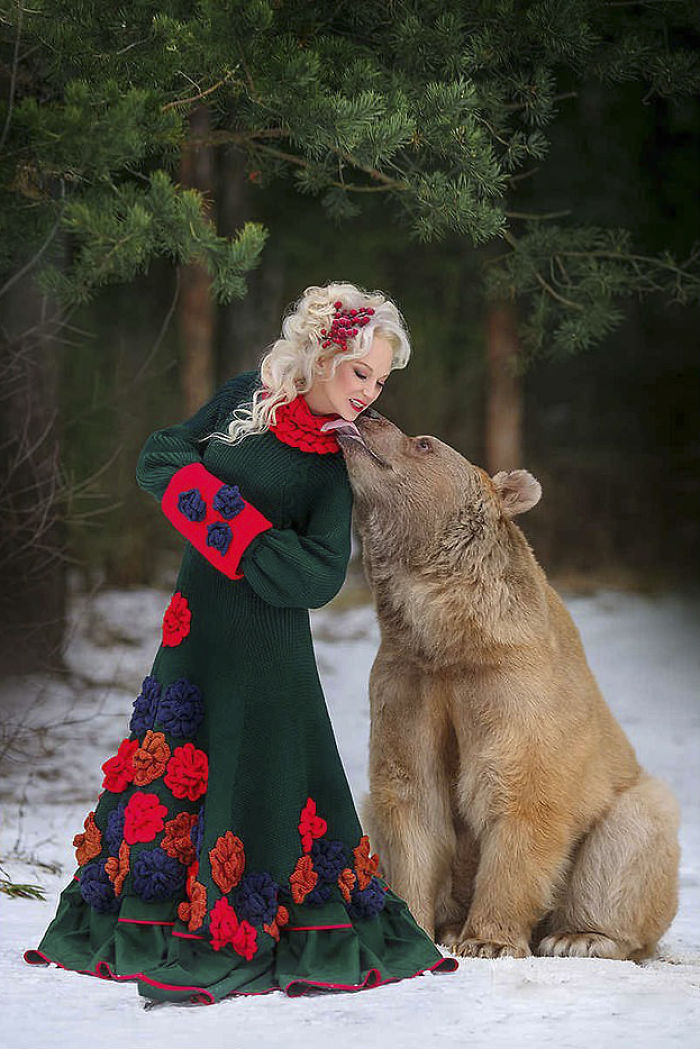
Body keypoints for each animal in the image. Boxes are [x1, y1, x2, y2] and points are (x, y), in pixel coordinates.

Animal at [333, 408, 680, 960]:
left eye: (424, 443)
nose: (366, 415)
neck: (450, 633)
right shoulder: (407, 681)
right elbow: (412, 799)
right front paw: (418, 928)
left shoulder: (511, 684)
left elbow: (522, 794)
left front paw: (489, 940)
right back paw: (450, 924)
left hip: (627, 806)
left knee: (633, 833)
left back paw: (579, 935)